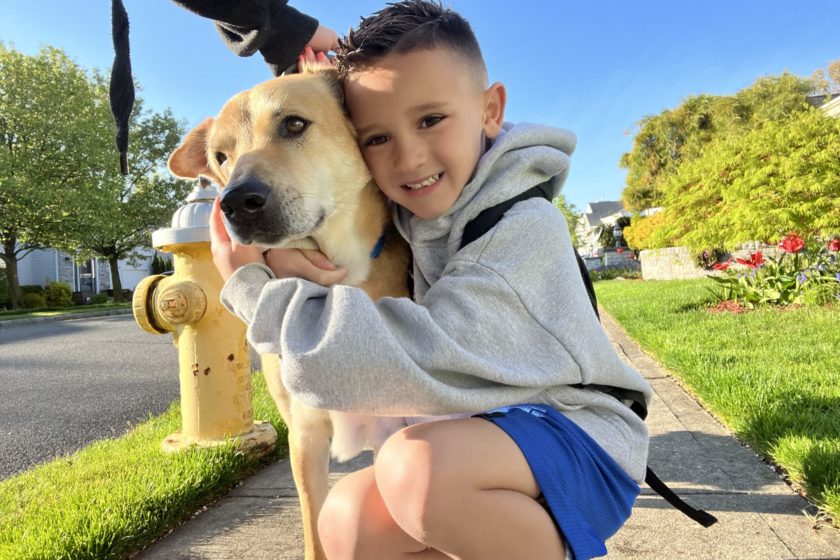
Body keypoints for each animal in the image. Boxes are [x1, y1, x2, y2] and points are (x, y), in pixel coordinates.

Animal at [167, 66, 410, 560]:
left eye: (294, 124)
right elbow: (316, 534)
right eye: (221, 156)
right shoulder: (304, 434)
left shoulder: (388, 424)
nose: (235, 203)